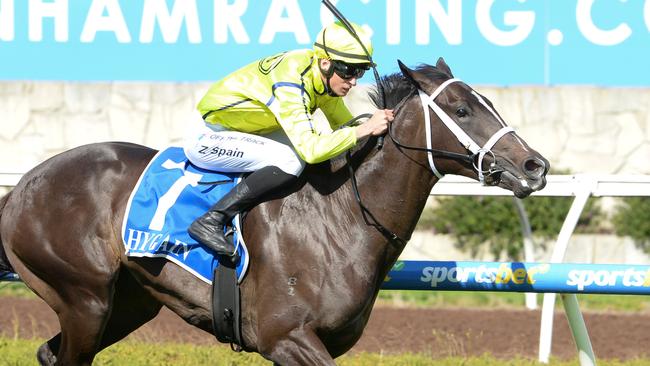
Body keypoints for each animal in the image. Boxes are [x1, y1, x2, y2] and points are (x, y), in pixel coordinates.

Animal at [0, 58, 548, 364]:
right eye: (461, 110)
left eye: (488, 102)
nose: (535, 165)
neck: (340, 219)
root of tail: (24, 185)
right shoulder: (286, 338)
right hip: (84, 299)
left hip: (130, 302)